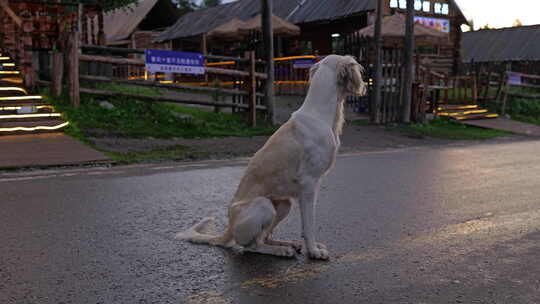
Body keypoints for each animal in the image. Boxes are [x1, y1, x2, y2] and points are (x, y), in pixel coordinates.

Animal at [177, 54, 368, 258]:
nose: (365, 87)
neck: (319, 114)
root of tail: (229, 228)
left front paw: (310, 247)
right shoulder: (309, 184)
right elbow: (309, 224)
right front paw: (314, 251)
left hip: (283, 204)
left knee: (265, 236)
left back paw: (287, 244)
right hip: (263, 204)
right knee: (251, 246)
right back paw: (279, 250)